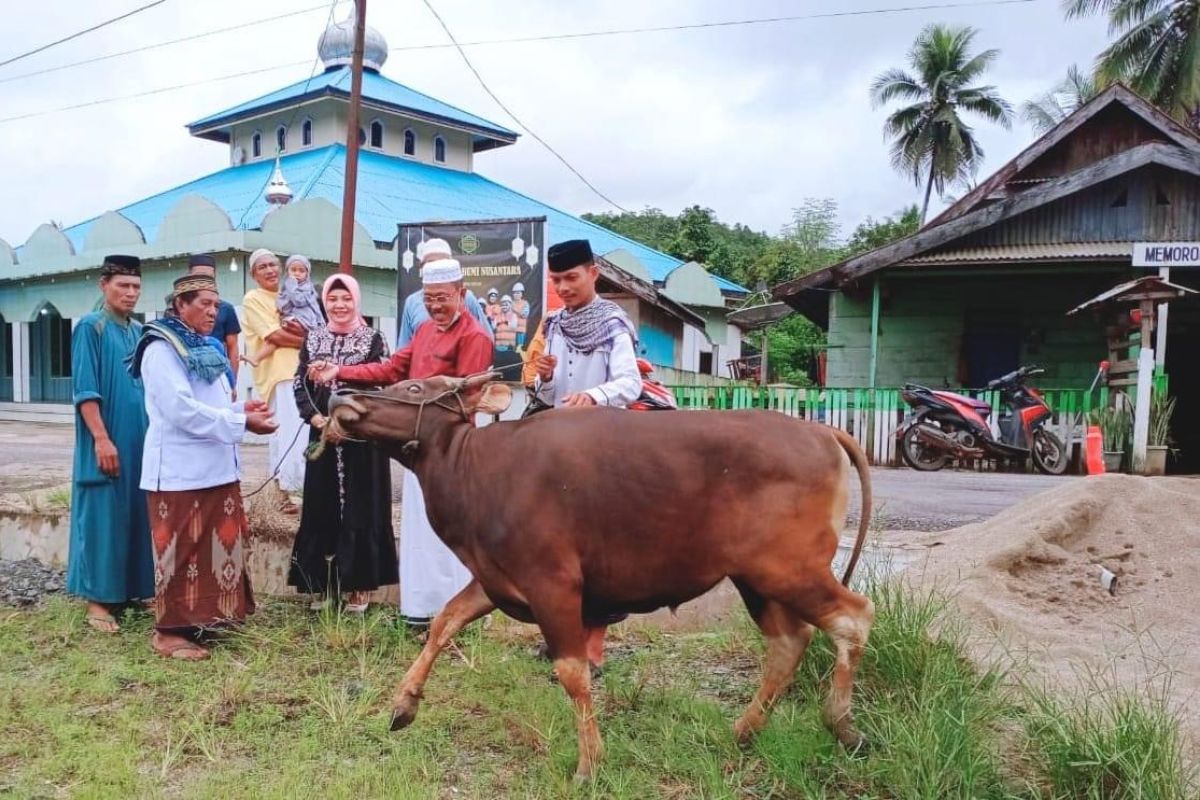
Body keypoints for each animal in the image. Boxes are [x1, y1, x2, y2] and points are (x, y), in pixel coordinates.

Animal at [326, 371, 873, 777]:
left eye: (415, 388)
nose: (341, 397)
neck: (476, 469)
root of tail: (822, 431)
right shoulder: (494, 578)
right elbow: (444, 622)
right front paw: (403, 705)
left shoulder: (553, 584)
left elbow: (572, 672)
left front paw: (589, 762)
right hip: (756, 579)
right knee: (790, 642)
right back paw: (744, 730)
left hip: (790, 569)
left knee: (854, 617)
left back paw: (841, 724)